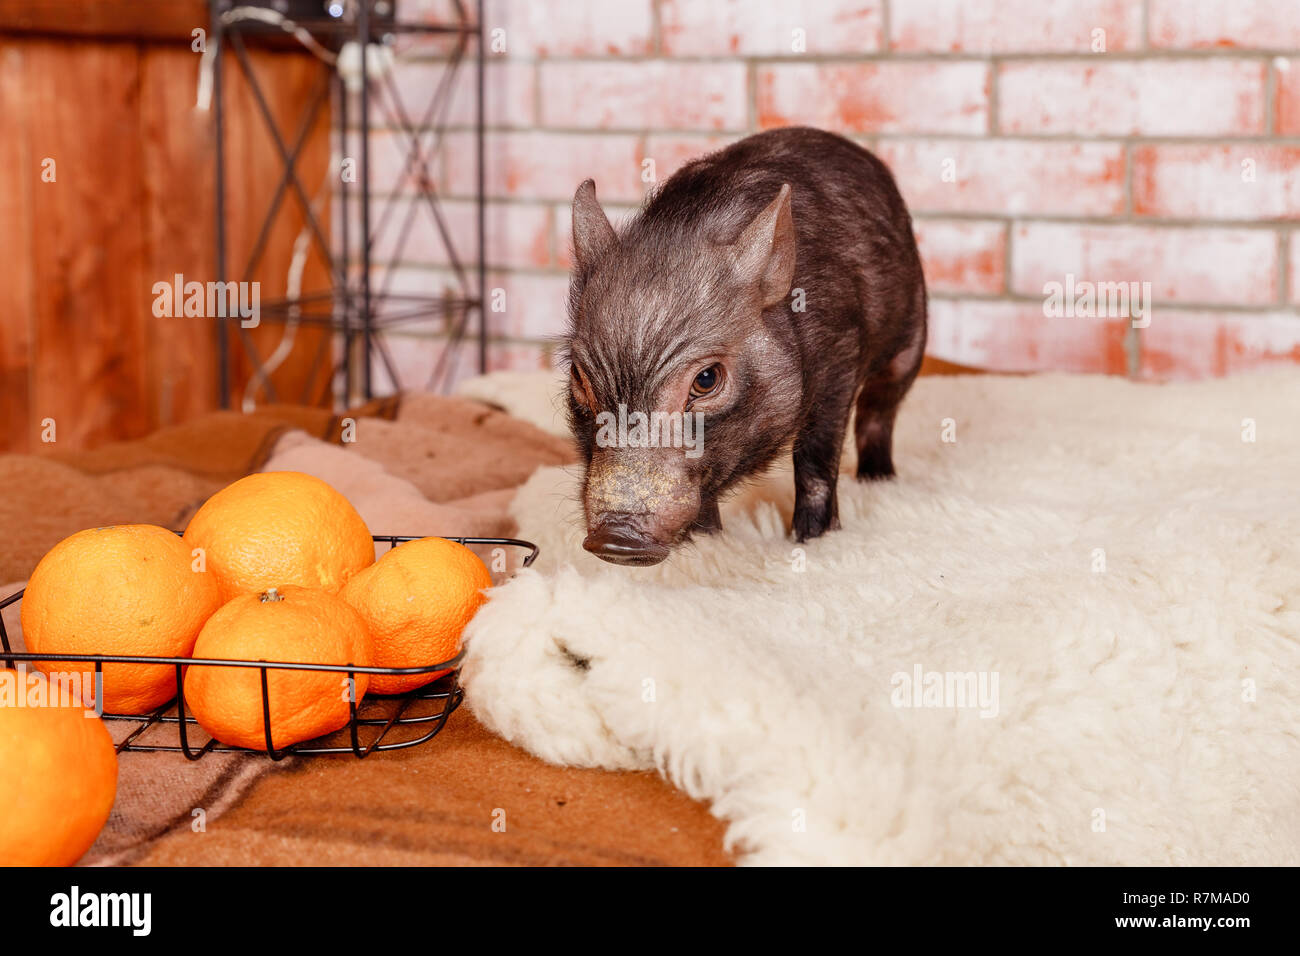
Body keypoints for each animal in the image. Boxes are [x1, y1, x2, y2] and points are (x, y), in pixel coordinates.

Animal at [564, 123, 930, 564]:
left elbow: (816, 458)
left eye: (706, 379)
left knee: (879, 409)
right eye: (578, 377)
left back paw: (878, 481)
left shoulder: (840, 359)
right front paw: (708, 544)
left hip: (912, 336)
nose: (615, 539)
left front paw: (812, 540)